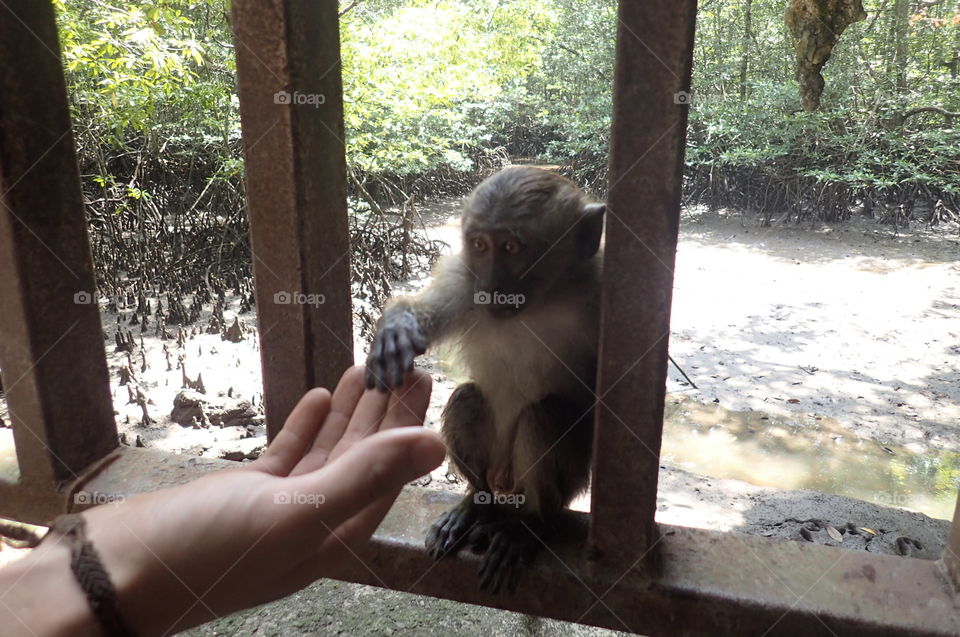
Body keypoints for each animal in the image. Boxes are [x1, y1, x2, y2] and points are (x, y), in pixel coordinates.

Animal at [365, 165, 604, 593]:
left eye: (511, 247)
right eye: (479, 245)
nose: (491, 286)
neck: (541, 301)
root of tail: (506, 481)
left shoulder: (599, 292)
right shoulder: (464, 279)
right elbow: (426, 313)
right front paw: (398, 328)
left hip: (568, 478)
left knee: (546, 416)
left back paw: (531, 525)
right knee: (469, 398)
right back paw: (478, 502)